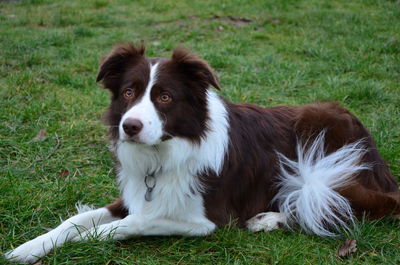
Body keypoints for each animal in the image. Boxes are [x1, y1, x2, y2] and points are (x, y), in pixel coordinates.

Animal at [5, 43, 400, 262]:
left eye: (165, 97)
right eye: (129, 92)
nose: (129, 126)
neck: (166, 152)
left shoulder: (205, 221)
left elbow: (129, 224)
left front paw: (87, 240)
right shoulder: (133, 196)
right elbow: (74, 221)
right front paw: (26, 249)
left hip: (320, 159)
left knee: (348, 205)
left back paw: (271, 218)